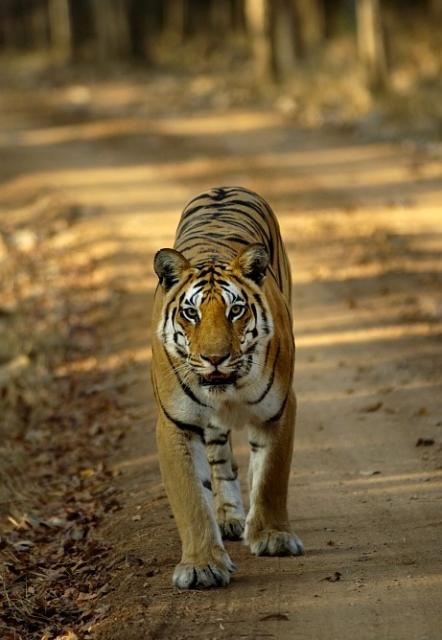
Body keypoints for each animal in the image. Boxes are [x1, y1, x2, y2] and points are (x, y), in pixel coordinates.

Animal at [151, 186, 304, 589]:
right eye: (191, 313)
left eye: (236, 310)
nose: (215, 358)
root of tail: (224, 186)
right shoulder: (176, 423)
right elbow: (191, 498)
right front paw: (202, 565)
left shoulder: (279, 408)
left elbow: (271, 476)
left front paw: (272, 537)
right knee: (219, 458)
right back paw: (228, 517)